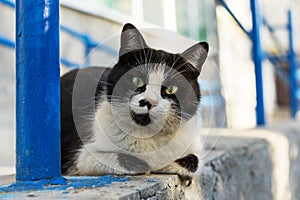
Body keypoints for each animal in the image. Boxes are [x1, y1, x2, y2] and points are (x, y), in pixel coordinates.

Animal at [61, 22, 209, 186]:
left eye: (171, 89)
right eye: (136, 80)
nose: (149, 101)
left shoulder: (194, 146)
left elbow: (194, 160)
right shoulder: (81, 156)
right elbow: (136, 163)